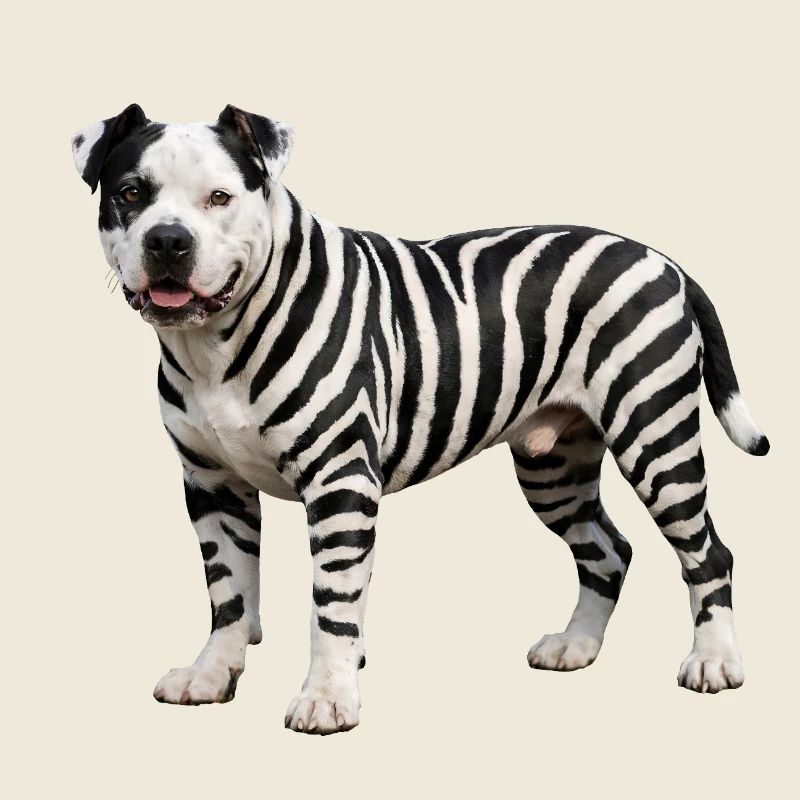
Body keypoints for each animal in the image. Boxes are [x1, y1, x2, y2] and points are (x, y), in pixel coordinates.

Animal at [72, 104, 769, 735]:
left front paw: (328, 697)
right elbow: (230, 595)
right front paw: (213, 674)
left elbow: (331, 607)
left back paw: (714, 660)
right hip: (554, 470)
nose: (168, 240)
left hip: (656, 442)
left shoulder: (341, 485)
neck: (220, 344)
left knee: (708, 554)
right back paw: (576, 646)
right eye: (131, 192)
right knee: (608, 551)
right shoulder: (214, 488)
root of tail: (661, 261)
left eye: (220, 197)